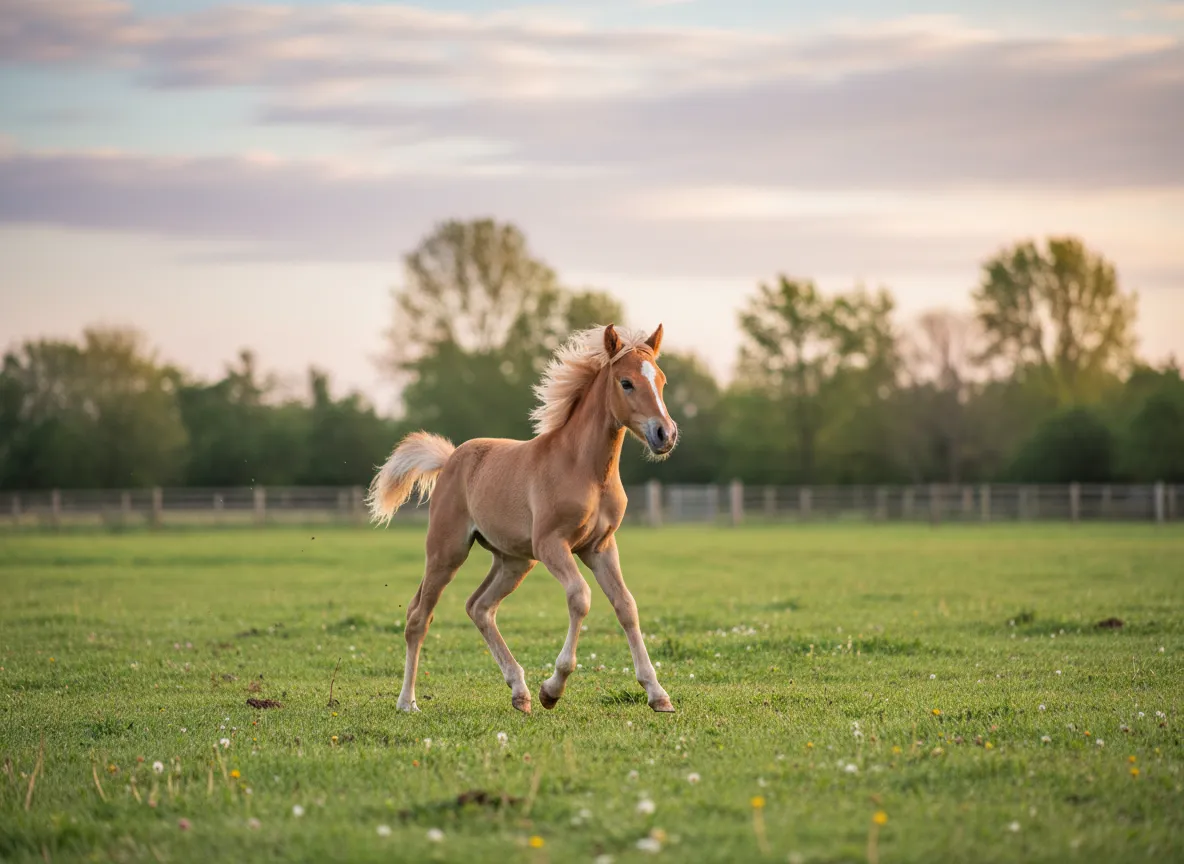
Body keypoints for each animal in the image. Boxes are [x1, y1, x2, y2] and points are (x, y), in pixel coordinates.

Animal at [366, 323, 679, 714]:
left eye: (662, 380)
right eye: (626, 382)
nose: (665, 434)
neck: (585, 469)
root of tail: (451, 457)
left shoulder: (600, 547)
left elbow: (626, 606)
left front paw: (658, 694)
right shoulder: (552, 545)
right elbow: (580, 597)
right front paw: (553, 689)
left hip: (513, 561)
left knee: (479, 607)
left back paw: (519, 691)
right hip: (447, 551)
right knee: (418, 617)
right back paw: (408, 701)